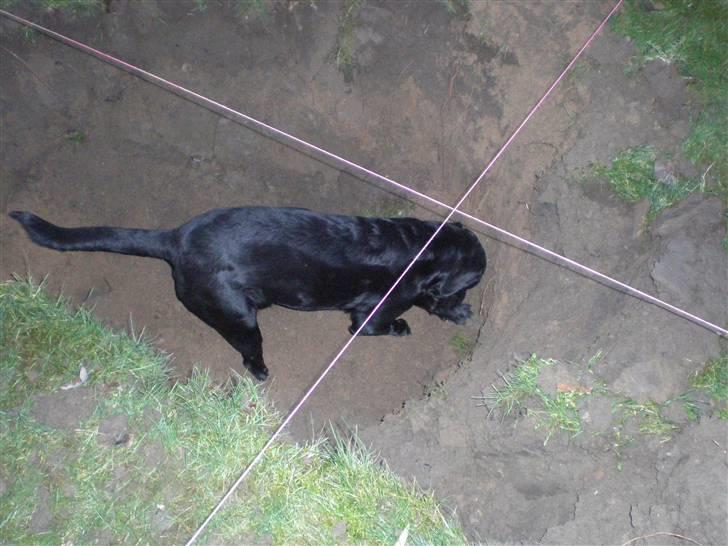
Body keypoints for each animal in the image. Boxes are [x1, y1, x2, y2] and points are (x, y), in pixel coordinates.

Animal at [8, 205, 486, 378]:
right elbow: (391, 322)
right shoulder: (368, 319)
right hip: (238, 317)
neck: (421, 245)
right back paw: (261, 372)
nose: (468, 305)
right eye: (470, 283)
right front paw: (415, 325)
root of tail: (174, 238)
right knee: (249, 351)